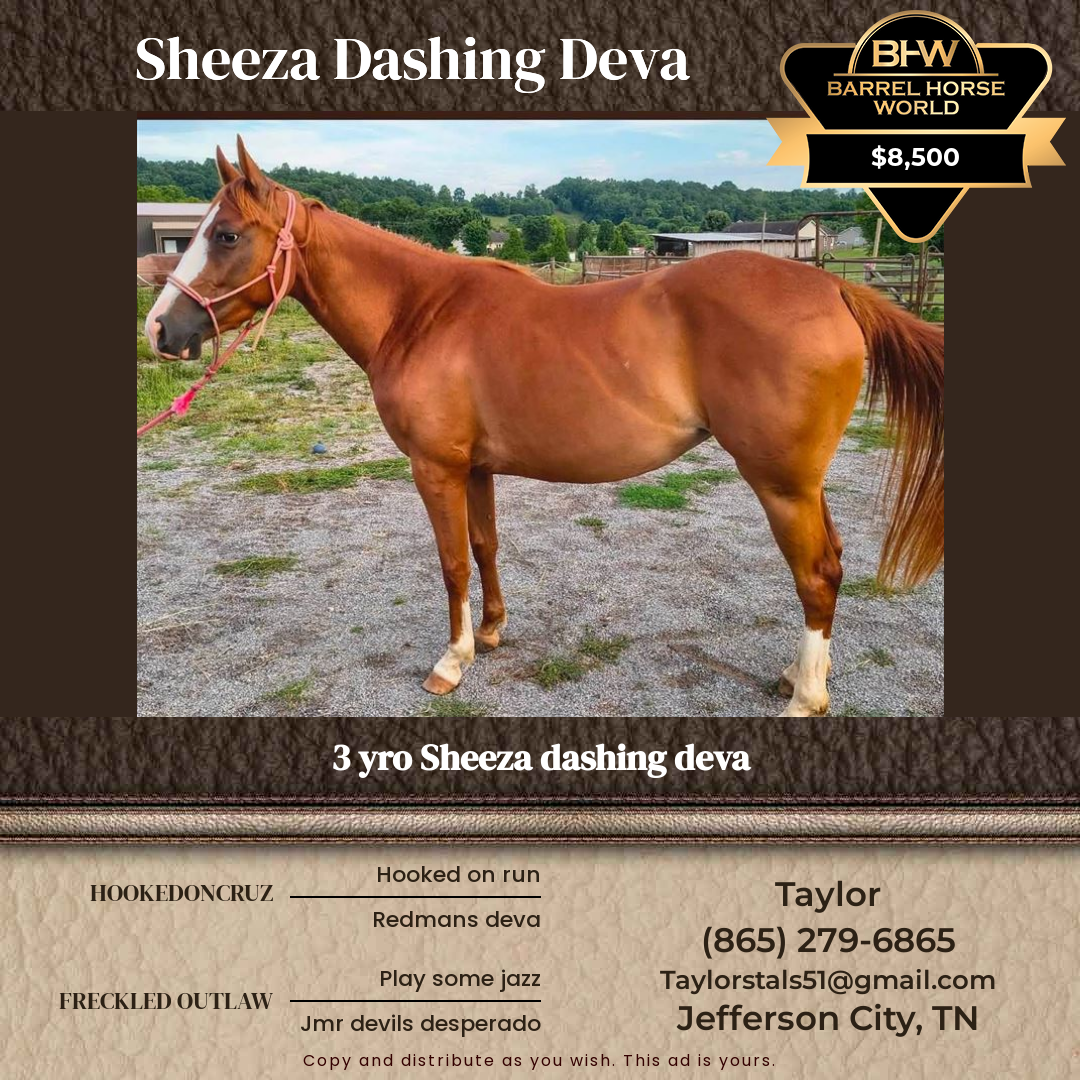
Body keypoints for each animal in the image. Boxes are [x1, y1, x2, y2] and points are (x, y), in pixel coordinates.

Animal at [143, 138, 944, 716]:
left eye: (225, 235)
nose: (161, 330)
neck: (420, 311)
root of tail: (833, 287)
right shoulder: (476, 467)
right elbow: (485, 547)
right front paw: (492, 632)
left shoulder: (435, 467)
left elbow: (451, 562)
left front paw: (451, 663)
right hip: (802, 484)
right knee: (830, 566)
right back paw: (794, 674)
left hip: (780, 483)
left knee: (817, 574)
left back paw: (805, 698)